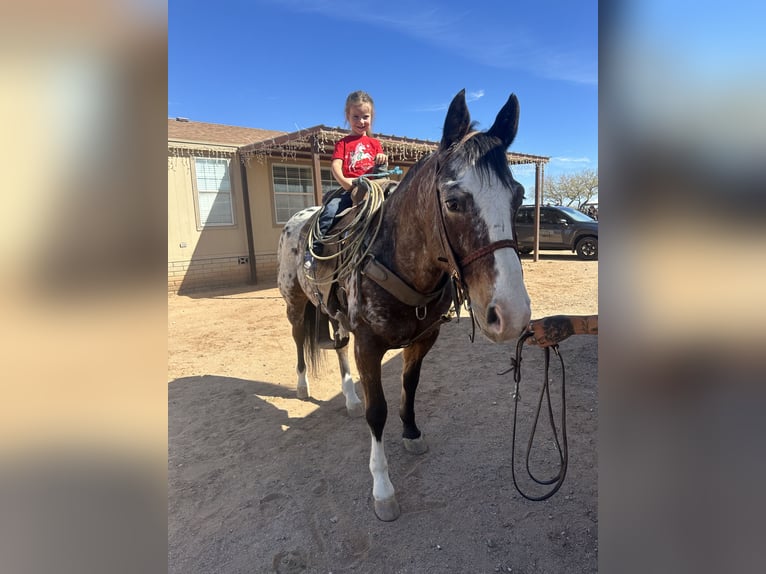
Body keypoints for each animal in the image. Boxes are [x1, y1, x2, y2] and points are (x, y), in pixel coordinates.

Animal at [278, 89, 536, 520]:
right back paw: (301, 385)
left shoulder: (423, 339)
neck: (395, 257)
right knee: (300, 338)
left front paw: (412, 432)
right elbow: (377, 411)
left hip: (332, 313)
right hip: (295, 302)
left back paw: (348, 398)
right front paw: (382, 488)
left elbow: (409, 385)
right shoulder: (368, 346)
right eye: (452, 201)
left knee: (337, 346)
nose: (511, 315)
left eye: (518, 197)